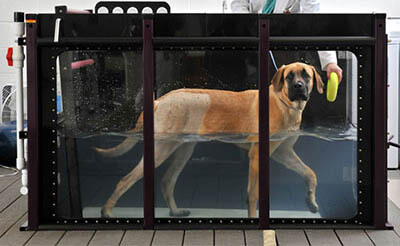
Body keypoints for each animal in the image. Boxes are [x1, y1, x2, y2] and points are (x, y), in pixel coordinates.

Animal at [97, 61, 324, 217]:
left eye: (306, 75)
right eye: (289, 77)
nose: (299, 86)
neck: (284, 103)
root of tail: (158, 100)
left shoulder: (283, 152)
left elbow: (310, 172)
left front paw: (311, 201)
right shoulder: (258, 155)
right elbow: (253, 195)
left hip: (184, 149)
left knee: (167, 180)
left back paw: (175, 211)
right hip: (161, 148)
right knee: (126, 179)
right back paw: (107, 211)